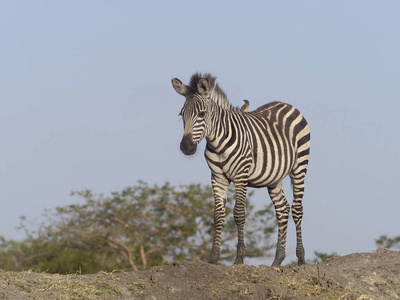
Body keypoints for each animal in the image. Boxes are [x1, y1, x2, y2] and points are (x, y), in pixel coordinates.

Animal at [171, 73, 310, 268]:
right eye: (181, 114)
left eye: (201, 114)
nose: (186, 147)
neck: (218, 141)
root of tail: (285, 104)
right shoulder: (217, 177)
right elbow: (218, 215)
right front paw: (214, 258)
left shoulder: (241, 176)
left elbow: (239, 214)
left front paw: (239, 258)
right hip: (274, 177)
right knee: (282, 209)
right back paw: (277, 260)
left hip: (299, 166)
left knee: (297, 209)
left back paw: (301, 259)